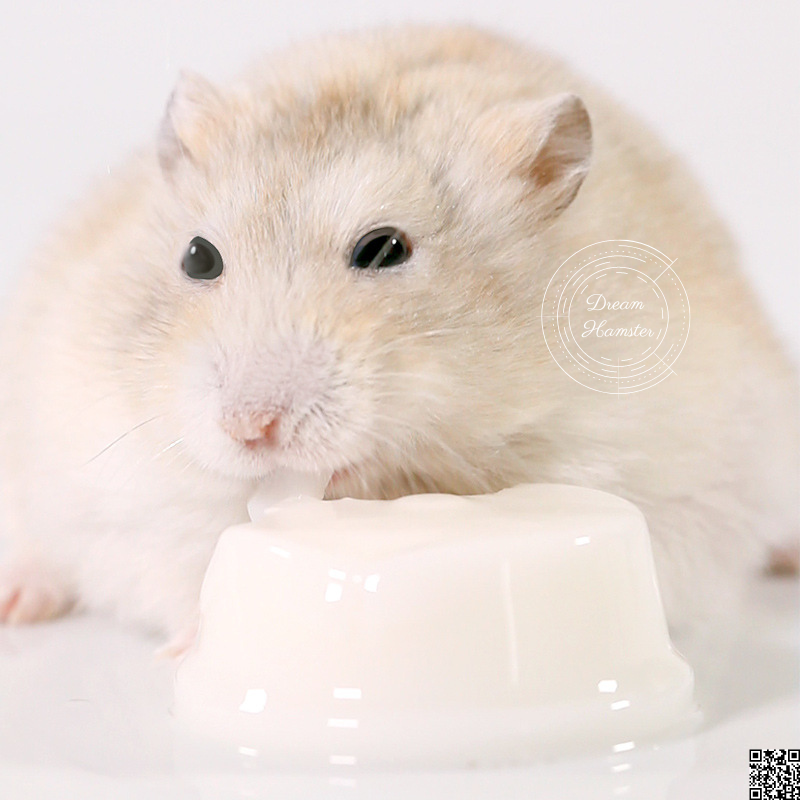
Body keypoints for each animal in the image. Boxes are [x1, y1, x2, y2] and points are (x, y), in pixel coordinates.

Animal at [0, 24, 797, 650]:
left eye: (384, 249)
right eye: (197, 257)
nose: (251, 430)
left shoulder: (673, 479)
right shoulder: (125, 490)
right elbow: (180, 564)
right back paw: (18, 601)